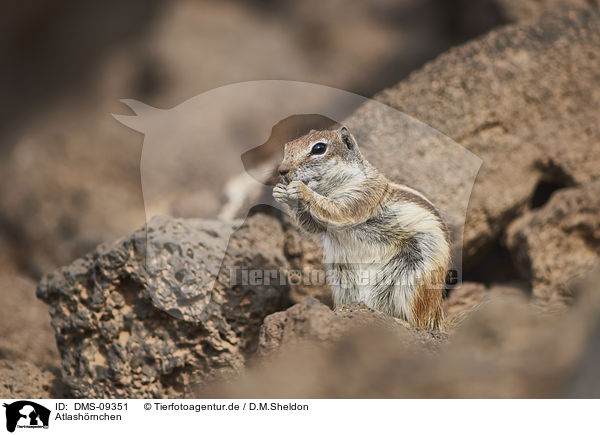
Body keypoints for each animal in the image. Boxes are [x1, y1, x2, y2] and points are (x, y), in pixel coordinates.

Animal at [274, 124, 450, 328]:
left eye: (319, 148)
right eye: (287, 147)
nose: (282, 171)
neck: (329, 188)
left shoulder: (364, 195)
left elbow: (338, 211)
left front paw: (302, 190)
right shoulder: (322, 225)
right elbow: (313, 226)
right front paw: (281, 193)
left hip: (414, 280)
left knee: (419, 319)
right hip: (343, 279)